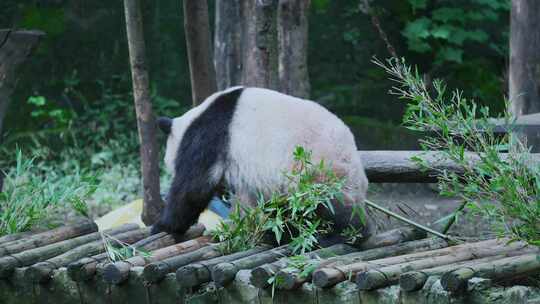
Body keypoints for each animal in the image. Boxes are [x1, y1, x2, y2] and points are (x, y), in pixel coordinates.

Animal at [151, 85, 372, 245]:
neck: (192, 121)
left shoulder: (209, 138)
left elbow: (192, 188)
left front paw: (162, 227)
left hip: (315, 170)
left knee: (326, 205)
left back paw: (343, 234)